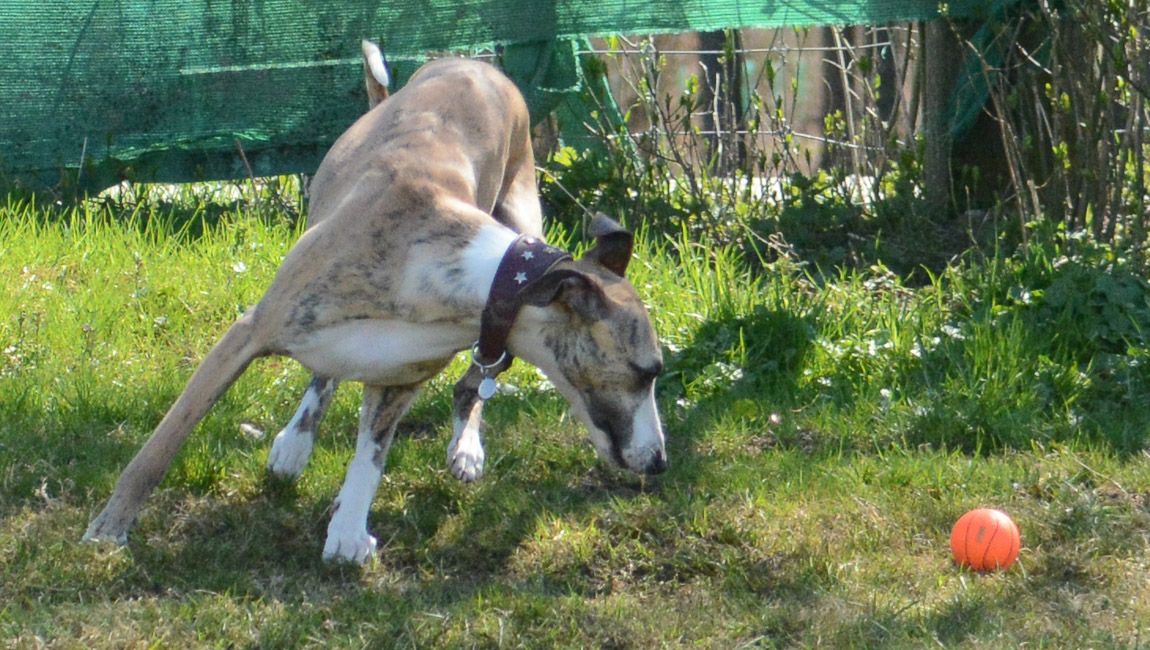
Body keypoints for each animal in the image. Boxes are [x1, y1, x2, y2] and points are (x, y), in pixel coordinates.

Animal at [84, 41, 667, 564]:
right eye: (645, 372)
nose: (660, 463)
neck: (466, 272)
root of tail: (477, 66)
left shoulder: (402, 376)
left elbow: (372, 455)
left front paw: (347, 533)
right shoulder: (246, 335)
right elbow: (161, 447)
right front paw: (110, 529)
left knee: (466, 384)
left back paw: (464, 447)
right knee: (323, 377)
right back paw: (295, 443)